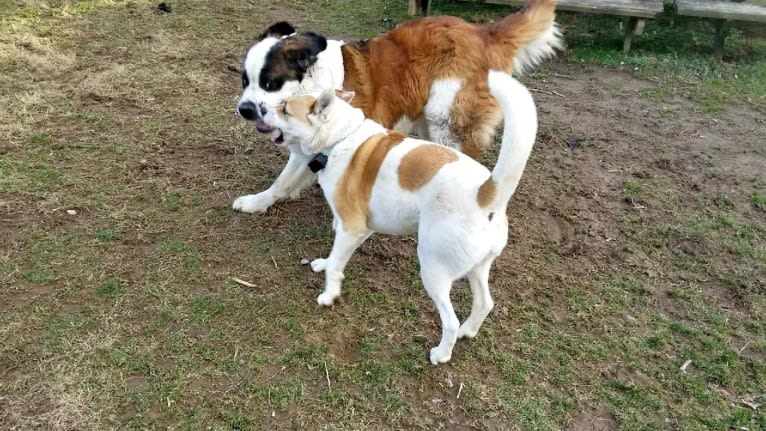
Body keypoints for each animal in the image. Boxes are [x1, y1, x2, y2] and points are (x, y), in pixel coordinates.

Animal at [231, 0, 560, 214]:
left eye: (270, 83)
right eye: (245, 80)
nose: (244, 109)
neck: (313, 85)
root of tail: (484, 32)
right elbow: (283, 180)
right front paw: (259, 202)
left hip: (447, 118)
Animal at [266, 71, 540, 364]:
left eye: (284, 109)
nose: (259, 110)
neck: (340, 138)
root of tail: (486, 192)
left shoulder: (353, 228)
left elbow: (336, 267)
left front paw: (329, 296)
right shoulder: (351, 227)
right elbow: (335, 256)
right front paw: (324, 264)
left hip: (433, 267)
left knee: (450, 320)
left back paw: (442, 353)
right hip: (477, 268)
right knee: (485, 303)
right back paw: (468, 331)